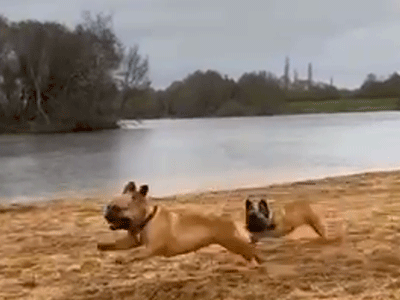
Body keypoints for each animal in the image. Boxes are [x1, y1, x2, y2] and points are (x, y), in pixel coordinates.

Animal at [98, 182, 264, 264]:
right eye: (108, 206)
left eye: (117, 208)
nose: (106, 214)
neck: (146, 219)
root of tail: (233, 221)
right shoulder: (131, 241)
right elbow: (118, 244)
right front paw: (103, 246)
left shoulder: (151, 248)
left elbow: (136, 253)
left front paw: (122, 259)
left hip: (232, 242)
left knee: (250, 250)